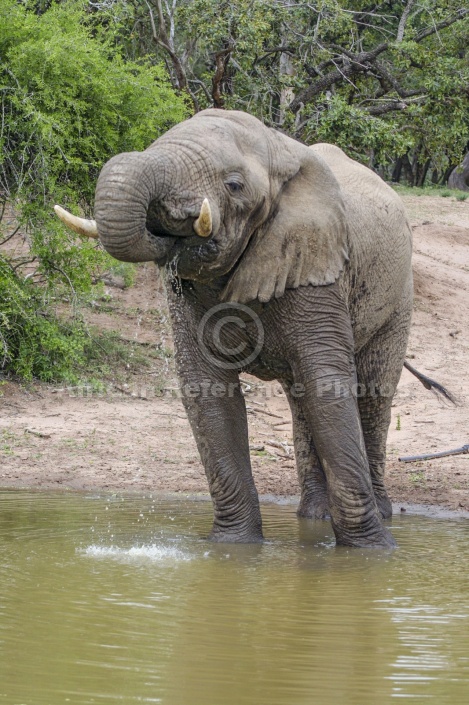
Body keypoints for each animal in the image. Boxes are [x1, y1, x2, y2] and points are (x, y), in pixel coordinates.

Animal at [54, 111, 414, 552]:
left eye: (234, 185)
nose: (169, 224)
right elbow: (207, 390)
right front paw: (233, 548)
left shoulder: (319, 268)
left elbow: (328, 384)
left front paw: (374, 553)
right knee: (301, 403)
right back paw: (313, 516)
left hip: (398, 295)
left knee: (374, 394)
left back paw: (378, 513)